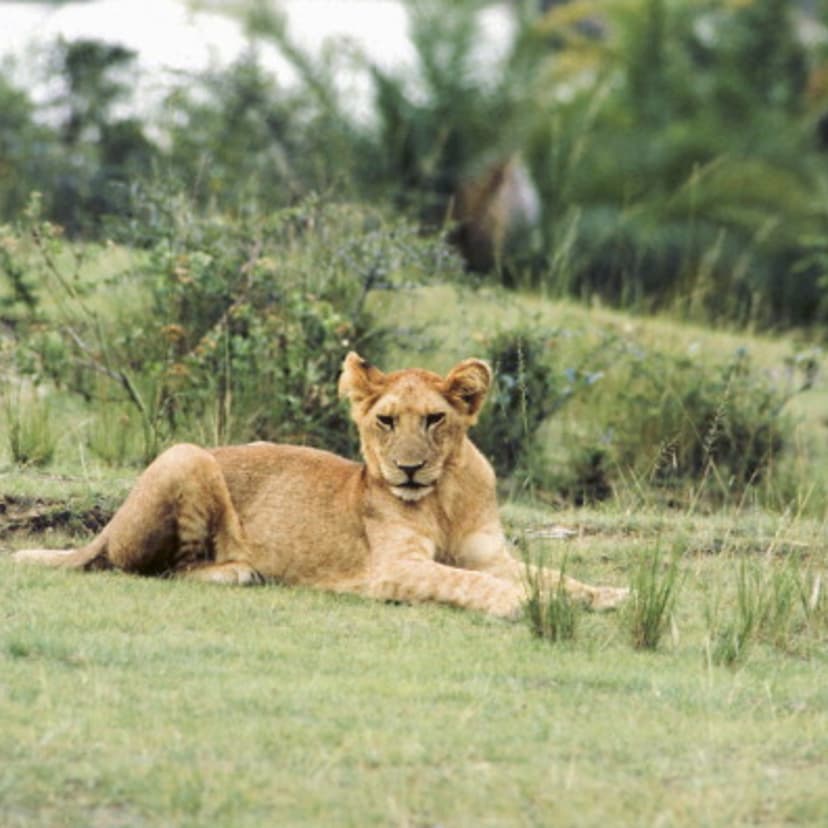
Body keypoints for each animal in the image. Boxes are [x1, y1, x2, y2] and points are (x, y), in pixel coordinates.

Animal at [13, 352, 628, 618]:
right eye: (386, 421)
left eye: (434, 419)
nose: (408, 469)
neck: (444, 499)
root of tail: (109, 522)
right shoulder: (393, 568)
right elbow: (469, 582)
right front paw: (517, 603)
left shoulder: (490, 554)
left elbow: (554, 577)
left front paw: (611, 595)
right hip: (186, 455)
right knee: (151, 568)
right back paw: (238, 571)